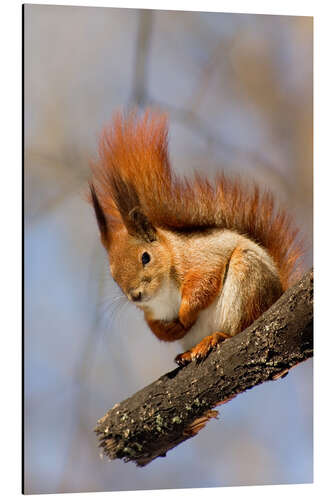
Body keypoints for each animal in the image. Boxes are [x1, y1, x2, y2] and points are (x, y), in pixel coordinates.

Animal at [88, 111, 300, 366]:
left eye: (146, 257)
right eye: (113, 276)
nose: (136, 295)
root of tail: (277, 295)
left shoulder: (201, 258)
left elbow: (203, 283)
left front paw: (185, 315)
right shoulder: (151, 312)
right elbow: (156, 328)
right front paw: (170, 330)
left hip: (249, 281)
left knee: (239, 326)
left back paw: (215, 338)